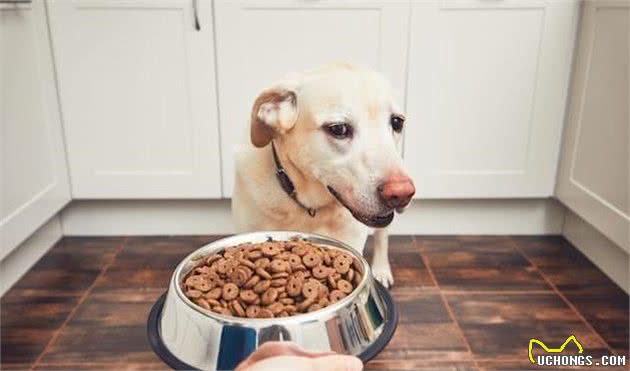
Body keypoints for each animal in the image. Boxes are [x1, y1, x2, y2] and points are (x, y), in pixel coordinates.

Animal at [232, 63, 414, 288]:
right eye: (339, 128)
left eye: (397, 122)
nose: (402, 194)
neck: (309, 207)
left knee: (382, 236)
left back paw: (381, 268)